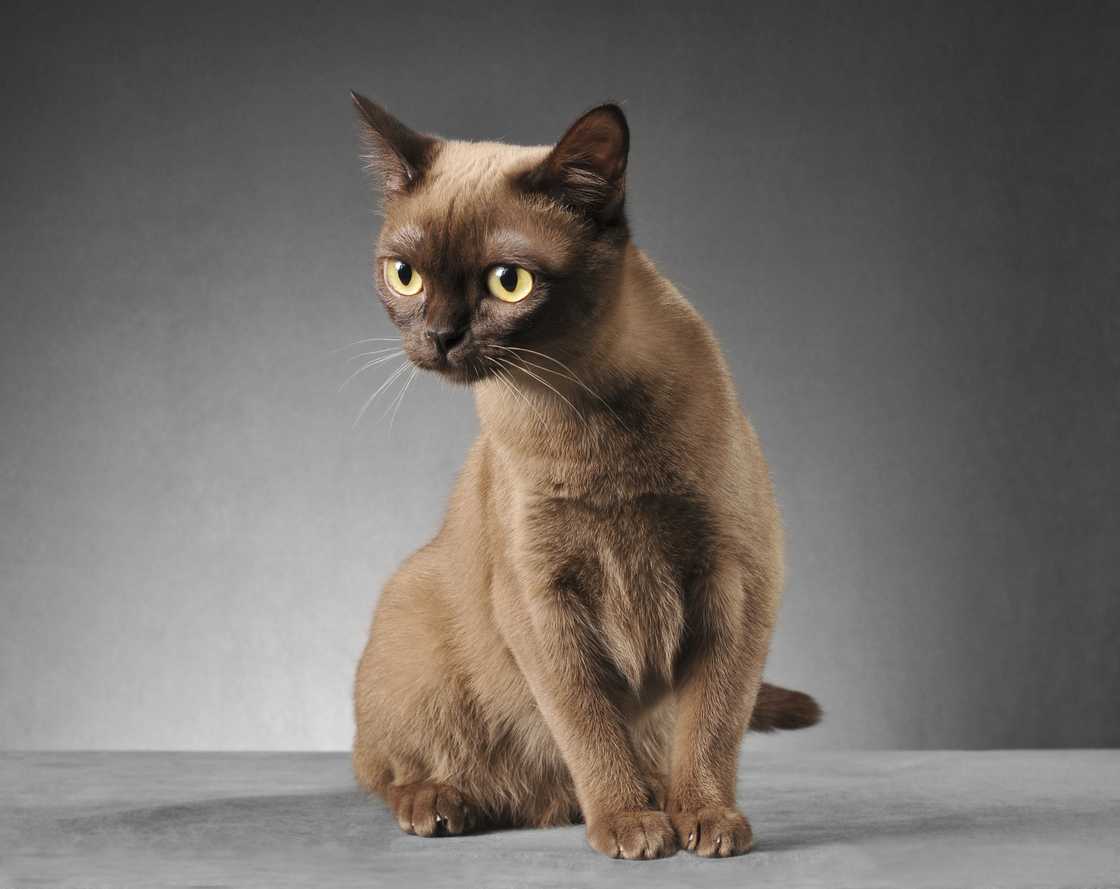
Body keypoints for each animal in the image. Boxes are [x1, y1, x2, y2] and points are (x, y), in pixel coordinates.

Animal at [344, 93, 819, 855]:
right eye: (404, 275)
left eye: (508, 282)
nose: (440, 337)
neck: (579, 410)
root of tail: (536, 805)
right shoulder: (542, 602)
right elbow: (588, 723)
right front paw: (628, 824)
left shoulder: (740, 582)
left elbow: (713, 724)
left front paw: (704, 820)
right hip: (410, 612)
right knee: (388, 768)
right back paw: (444, 803)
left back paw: (642, 798)